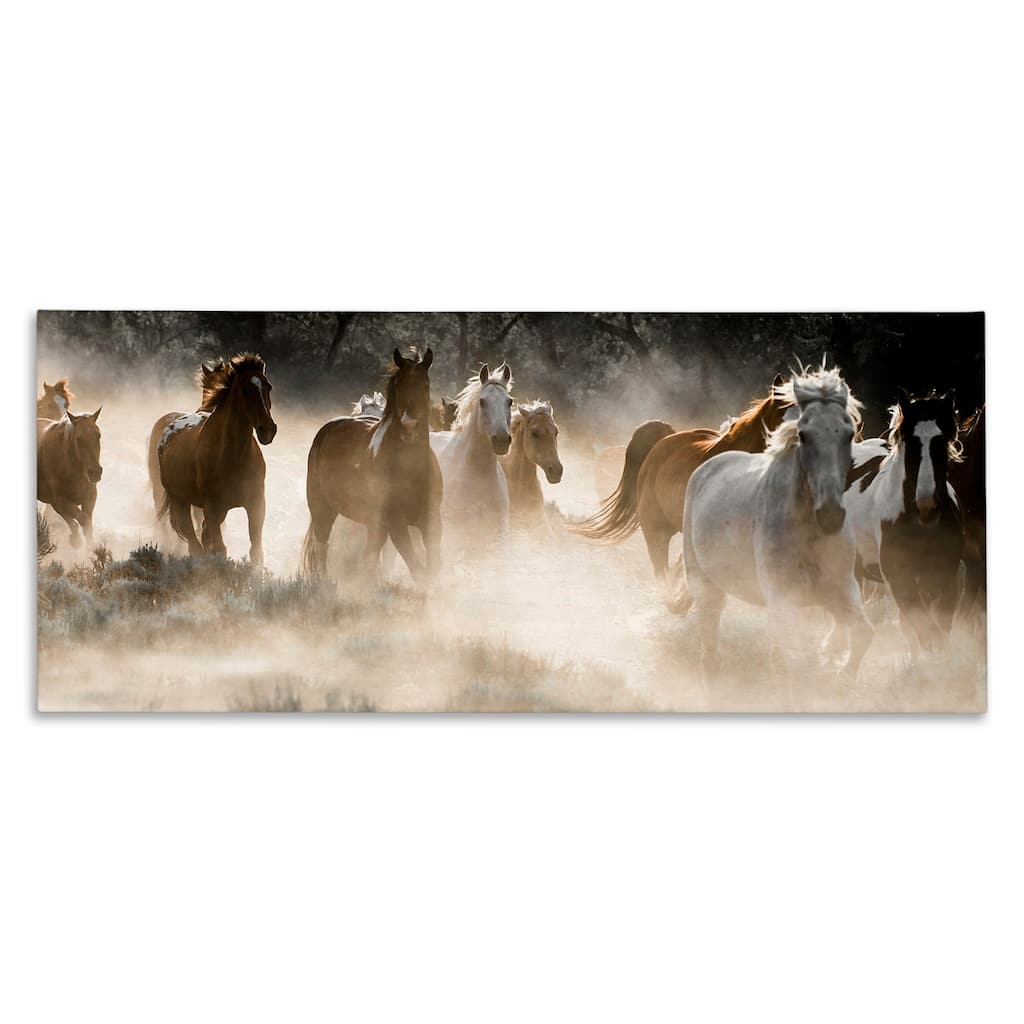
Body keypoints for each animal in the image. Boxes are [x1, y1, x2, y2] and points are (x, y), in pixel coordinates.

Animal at [37, 409, 103, 548]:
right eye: (78, 439)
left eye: (98, 435)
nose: (95, 473)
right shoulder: (62, 500)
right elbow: (82, 520)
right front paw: (78, 542)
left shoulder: (90, 497)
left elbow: (87, 523)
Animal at [157, 353, 277, 564]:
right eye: (245, 389)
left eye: (268, 386)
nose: (268, 430)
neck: (234, 456)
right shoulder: (212, 507)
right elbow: (220, 549)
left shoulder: (256, 505)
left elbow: (256, 551)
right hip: (180, 502)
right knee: (194, 543)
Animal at [302, 348, 442, 581]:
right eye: (399, 385)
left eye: (425, 384)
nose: (409, 426)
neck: (411, 469)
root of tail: (326, 430)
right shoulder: (395, 524)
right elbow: (417, 569)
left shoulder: (431, 520)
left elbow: (432, 567)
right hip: (323, 509)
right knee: (322, 545)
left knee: (370, 555)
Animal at [682, 367, 870, 680]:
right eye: (803, 435)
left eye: (848, 433)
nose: (830, 515)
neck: (807, 530)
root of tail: (707, 468)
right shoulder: (785, 601)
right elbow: (794, 665)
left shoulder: (840, 589)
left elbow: (862, 635)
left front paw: (843, 679)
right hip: (705, 586)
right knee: (710, 653)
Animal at [843, 390, 964, 650]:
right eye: (909, 440)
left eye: (943, 440)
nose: (927, 506)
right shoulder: (900, 580)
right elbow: (926, 635)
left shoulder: (945, 580)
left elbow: (937, 636)